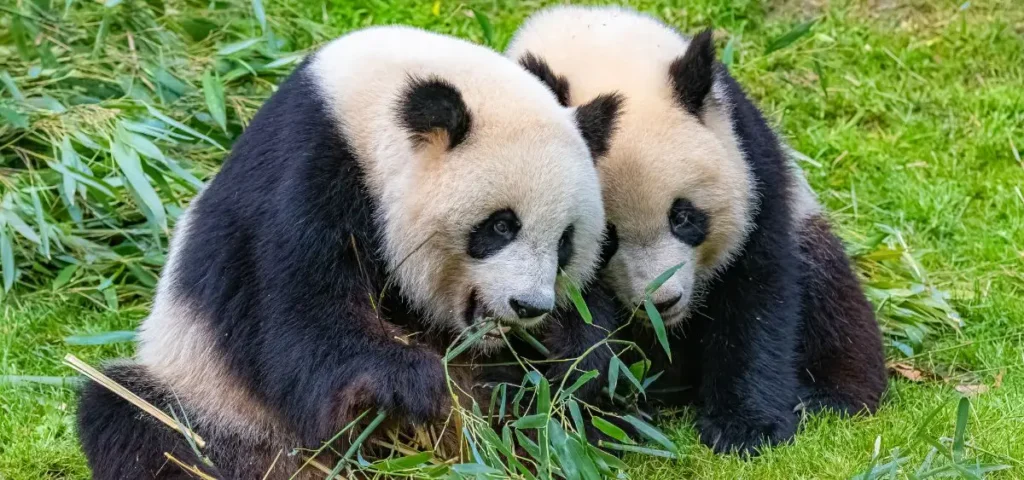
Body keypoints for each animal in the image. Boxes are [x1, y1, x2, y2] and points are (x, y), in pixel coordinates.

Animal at [77, 25, 624, 479]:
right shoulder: (304, 171)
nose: (530, 307)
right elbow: (295, 316)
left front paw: (574, 357)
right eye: (501, 225)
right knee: (138, 421)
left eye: (566, 241)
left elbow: (599, 353)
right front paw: (414, 381)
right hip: (212, 398)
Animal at [506, 6, 887, 455]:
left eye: (684, 218)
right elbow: (570, 321)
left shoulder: (751, 162)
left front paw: (744, 428)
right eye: (608, 239)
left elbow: (756, 292)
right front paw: (594, 406)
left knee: (832, 297)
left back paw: (829, 396)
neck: (597, 41)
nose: (663, 301)